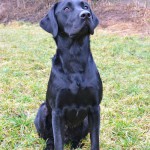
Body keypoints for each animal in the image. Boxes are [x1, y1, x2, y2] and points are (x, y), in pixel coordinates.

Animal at [34, 0, 102, 149]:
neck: (75, 61)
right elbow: (58, 142)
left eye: (85, 6)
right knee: (49, 138)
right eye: (66, 9)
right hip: (42, 110)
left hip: (86, 121)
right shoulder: (57, 111)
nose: (86, 15)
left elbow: (95, 140)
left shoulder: (95, 108)